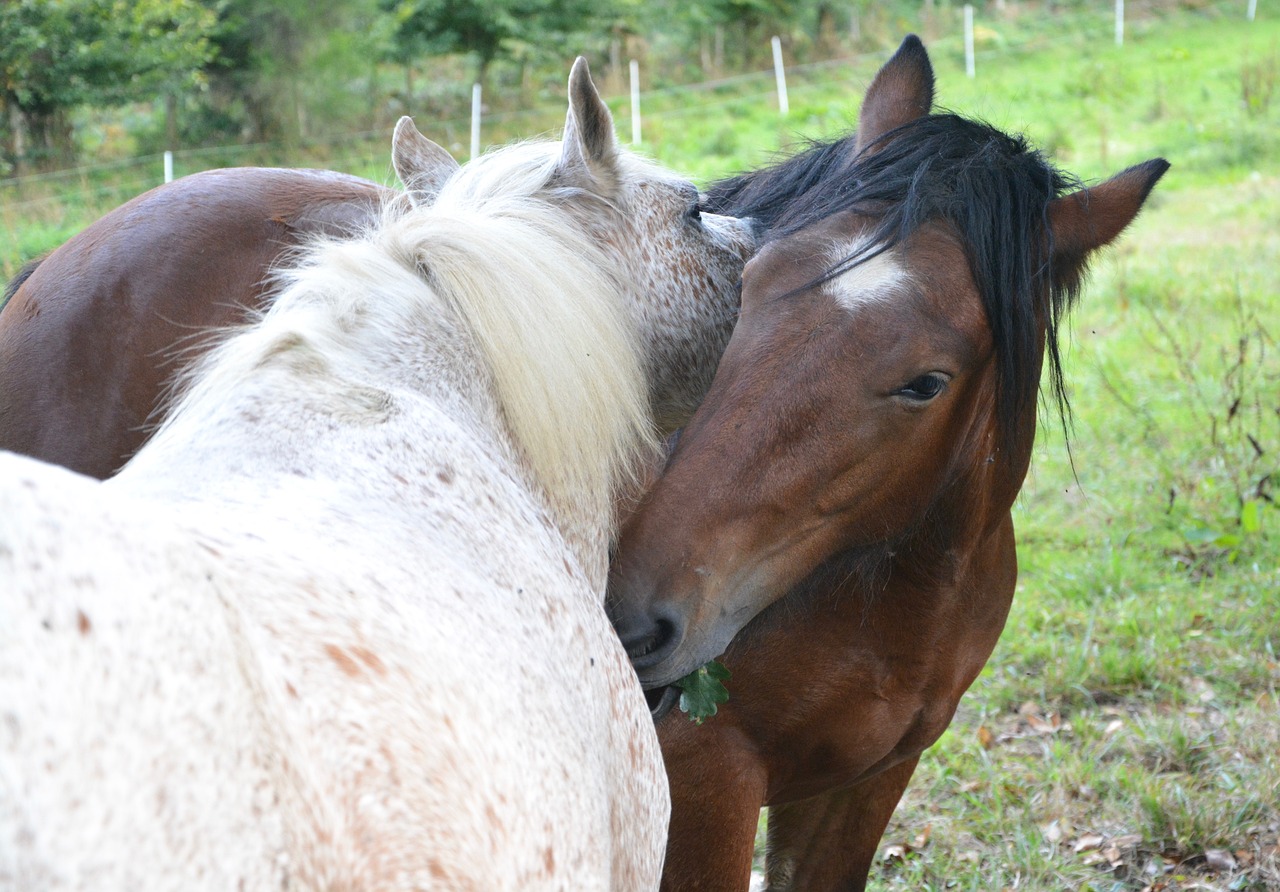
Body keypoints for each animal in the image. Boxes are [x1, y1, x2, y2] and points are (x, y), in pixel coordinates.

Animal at [611, 36, 1172, 890]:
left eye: (927, 383)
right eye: (748, 284)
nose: (636, 617)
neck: (895, 603)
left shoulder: (869, 779)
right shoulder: (709, 783)